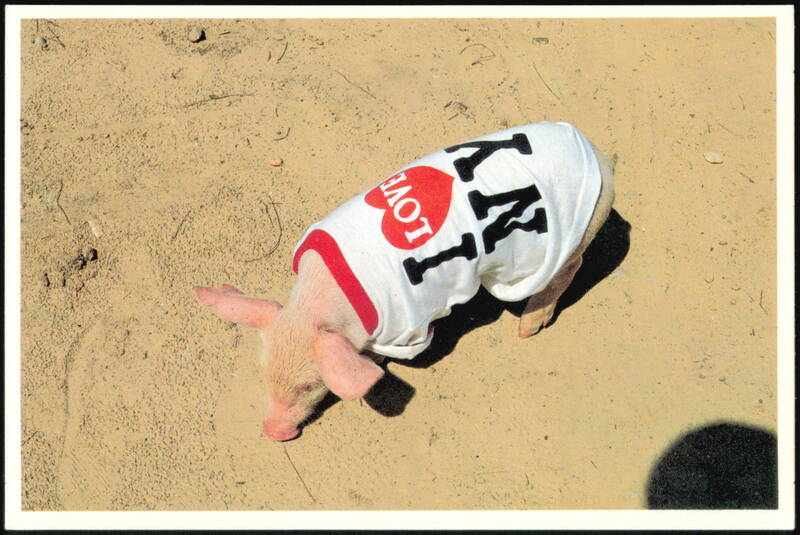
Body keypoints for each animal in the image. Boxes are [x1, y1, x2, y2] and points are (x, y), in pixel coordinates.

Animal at [195, 121, 615, 441]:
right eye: (262, 371)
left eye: (311, 385)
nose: (272, 432)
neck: (322, 301)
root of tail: (600, 156)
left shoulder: (409, 325)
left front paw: (375, 362)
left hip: (547, 252)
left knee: (569, 267)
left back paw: (527, 330)